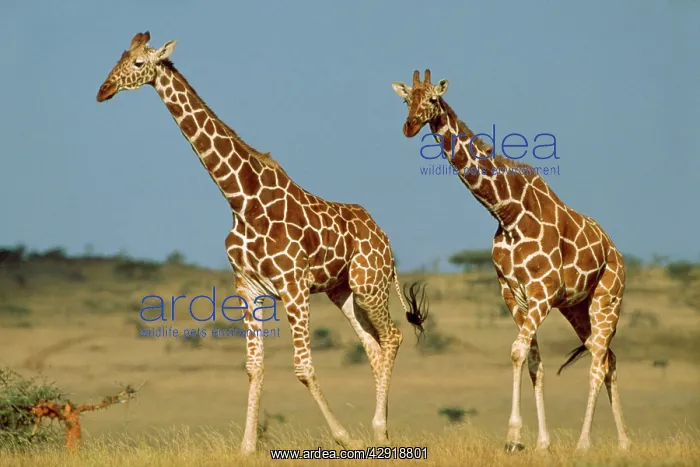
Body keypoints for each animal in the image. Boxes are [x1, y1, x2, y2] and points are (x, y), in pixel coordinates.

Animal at [95, 32, 429, 455]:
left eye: (139, 63)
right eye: (120, 56)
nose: (103, 90)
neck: (241, 199)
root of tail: (384, 238)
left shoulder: (293, 285)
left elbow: (303, 367)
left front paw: (343, 436)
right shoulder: (248, 286)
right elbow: (255, 367)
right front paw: (246, 447)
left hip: (369, 283)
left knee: (393, 337)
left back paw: (377, 429)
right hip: (343, 291)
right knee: (373, 345)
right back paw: (379, 430)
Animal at [391, 70, 630, 453]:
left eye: (432, 99)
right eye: (405, 101)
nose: (410, 126)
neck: (507, 212)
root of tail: (617, 254)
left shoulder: (543, 291)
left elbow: (518, 351)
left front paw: (513, 435)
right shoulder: (512, 292)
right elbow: (533, 359)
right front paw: (541, 442)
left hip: (608, 299)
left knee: (597, 361)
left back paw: (584, 443)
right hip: (577, 307)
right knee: (607, 356)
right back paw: (623, 442)